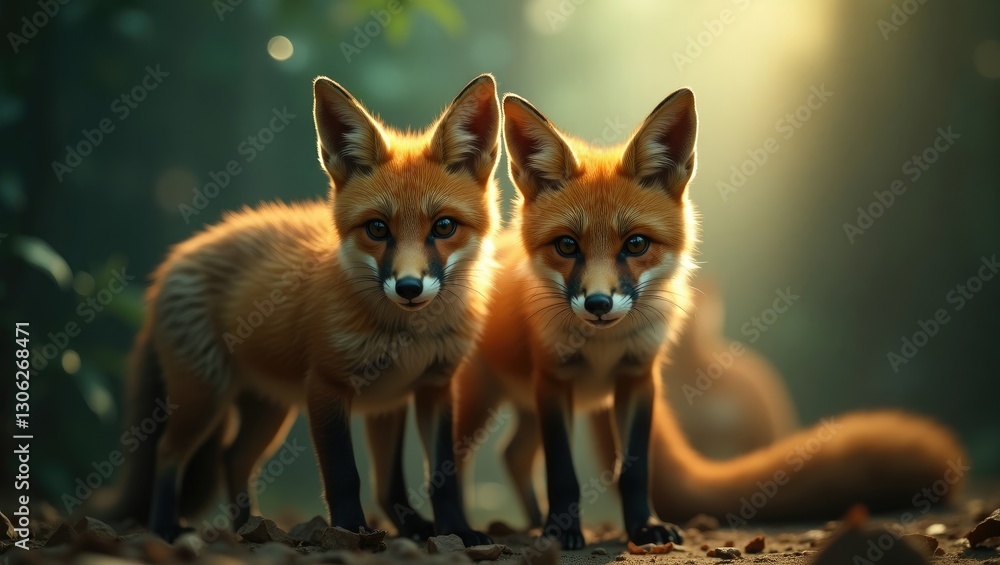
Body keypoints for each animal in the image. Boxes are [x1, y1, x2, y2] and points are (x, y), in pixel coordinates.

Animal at [108, 74, 501, 545]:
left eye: (443, 227)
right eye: (377, 229)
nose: (408, 287)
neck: (407, 334)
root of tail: (174, 259)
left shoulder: (421, 391)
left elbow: (425, 478)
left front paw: (450, 529)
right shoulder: (327, 386)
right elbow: (345, 475)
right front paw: (351, 530)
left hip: (269, 409)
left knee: (232, 458)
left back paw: (249, 528)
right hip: (205, 395)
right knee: (169, 452)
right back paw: (166, 526)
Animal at [454, 88, 966, 548]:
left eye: (635, 244)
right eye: (566, 245)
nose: (598, 304)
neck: (603, 350)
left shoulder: (638, 378)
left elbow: (634, 469)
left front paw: (643, 528)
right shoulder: (555, 381)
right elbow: (563, 473)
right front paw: (563, 532)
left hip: (525, 403)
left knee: (513, 455)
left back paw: (529, 522)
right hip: (484, 397)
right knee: (460, 457)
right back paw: (470, 526)